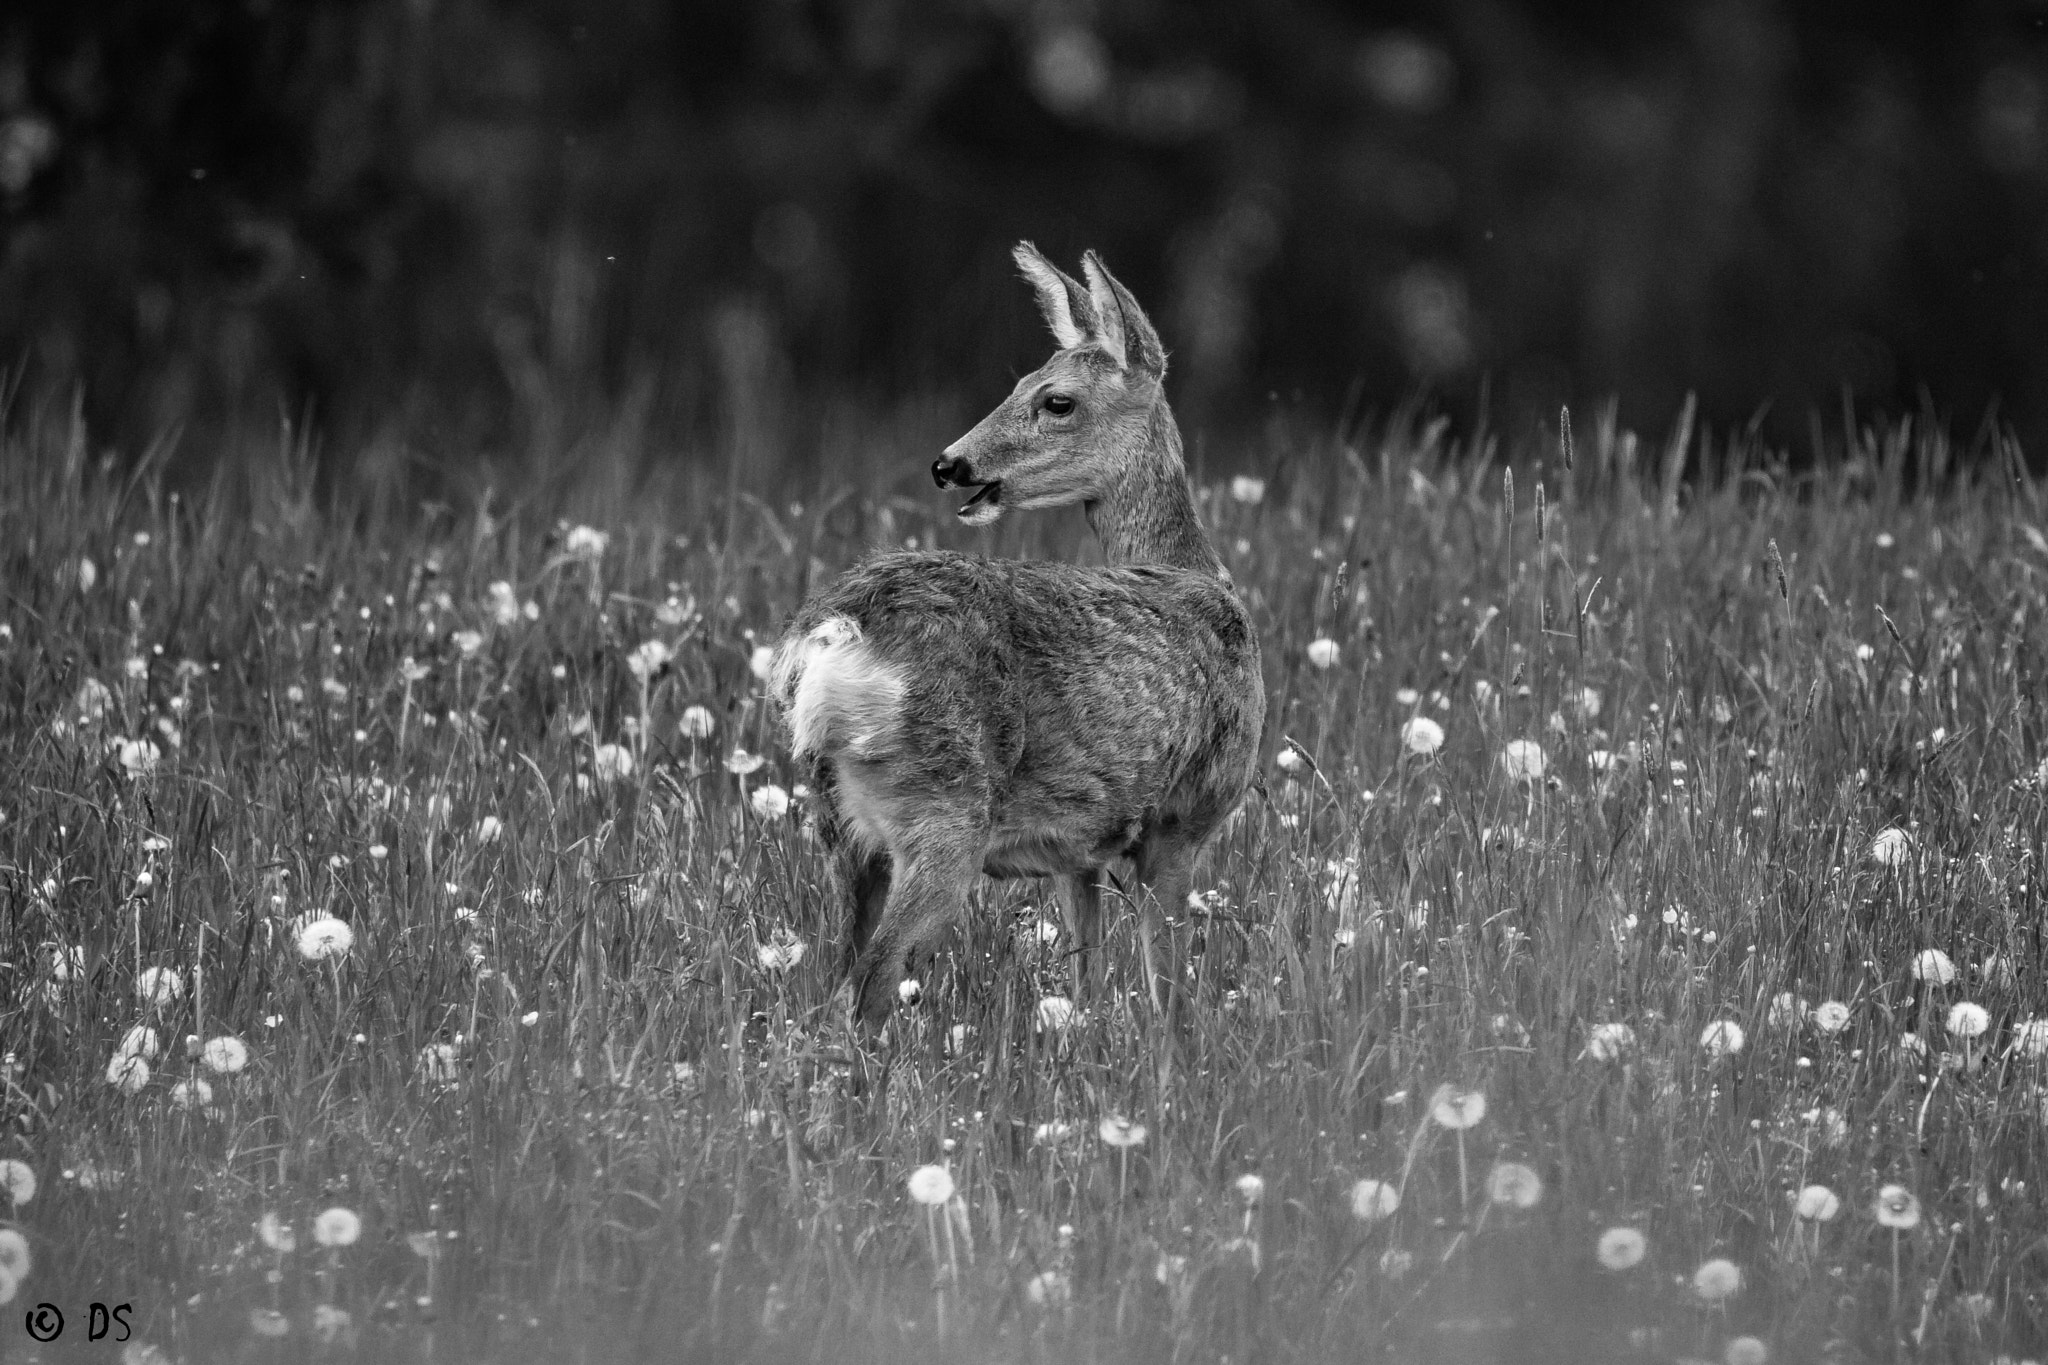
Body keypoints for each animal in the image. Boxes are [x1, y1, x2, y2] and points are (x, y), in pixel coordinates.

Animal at [769, 242, 1264, 1028]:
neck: (1197, 573)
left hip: (837, 821)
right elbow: (1168, 992)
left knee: (833, 973)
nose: (949, 464)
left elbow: (1087, 972)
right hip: (945, 810)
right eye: (1027, 385)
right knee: (872, 980)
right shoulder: (1183, 818)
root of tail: (835, 632)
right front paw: (1171, 1056)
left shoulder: (1079, 852)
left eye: (1052, 397)